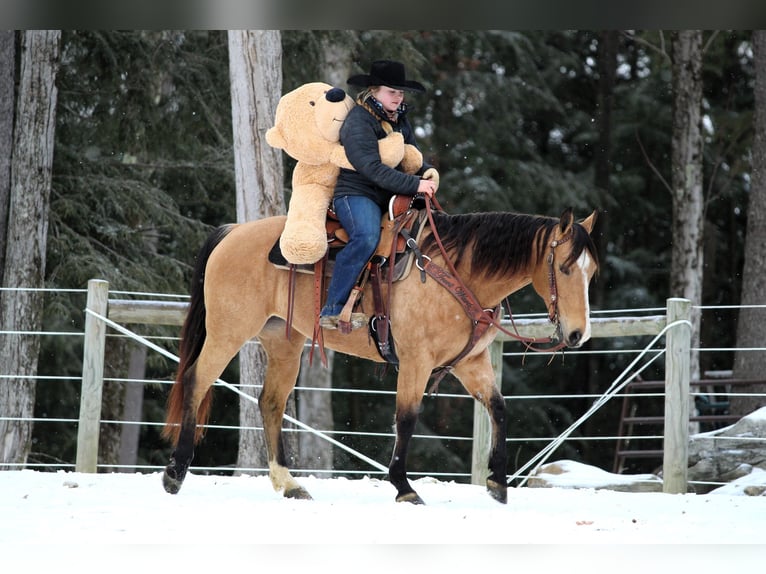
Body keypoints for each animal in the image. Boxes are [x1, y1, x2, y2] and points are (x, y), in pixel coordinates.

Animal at [164, 200, 600, 506]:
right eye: (564, 267)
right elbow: (405, 419)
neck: (456, 273)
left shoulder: (471, 363)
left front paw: (497, 482)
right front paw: (404, 487)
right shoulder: (416, 362)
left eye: (591, 272)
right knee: (196, 380)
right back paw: (176, 471)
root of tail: (233, 231)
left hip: (284, 342)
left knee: (270, 401)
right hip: (228, 331)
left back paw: (288, 483)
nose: (578, 334)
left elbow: (499, 408)